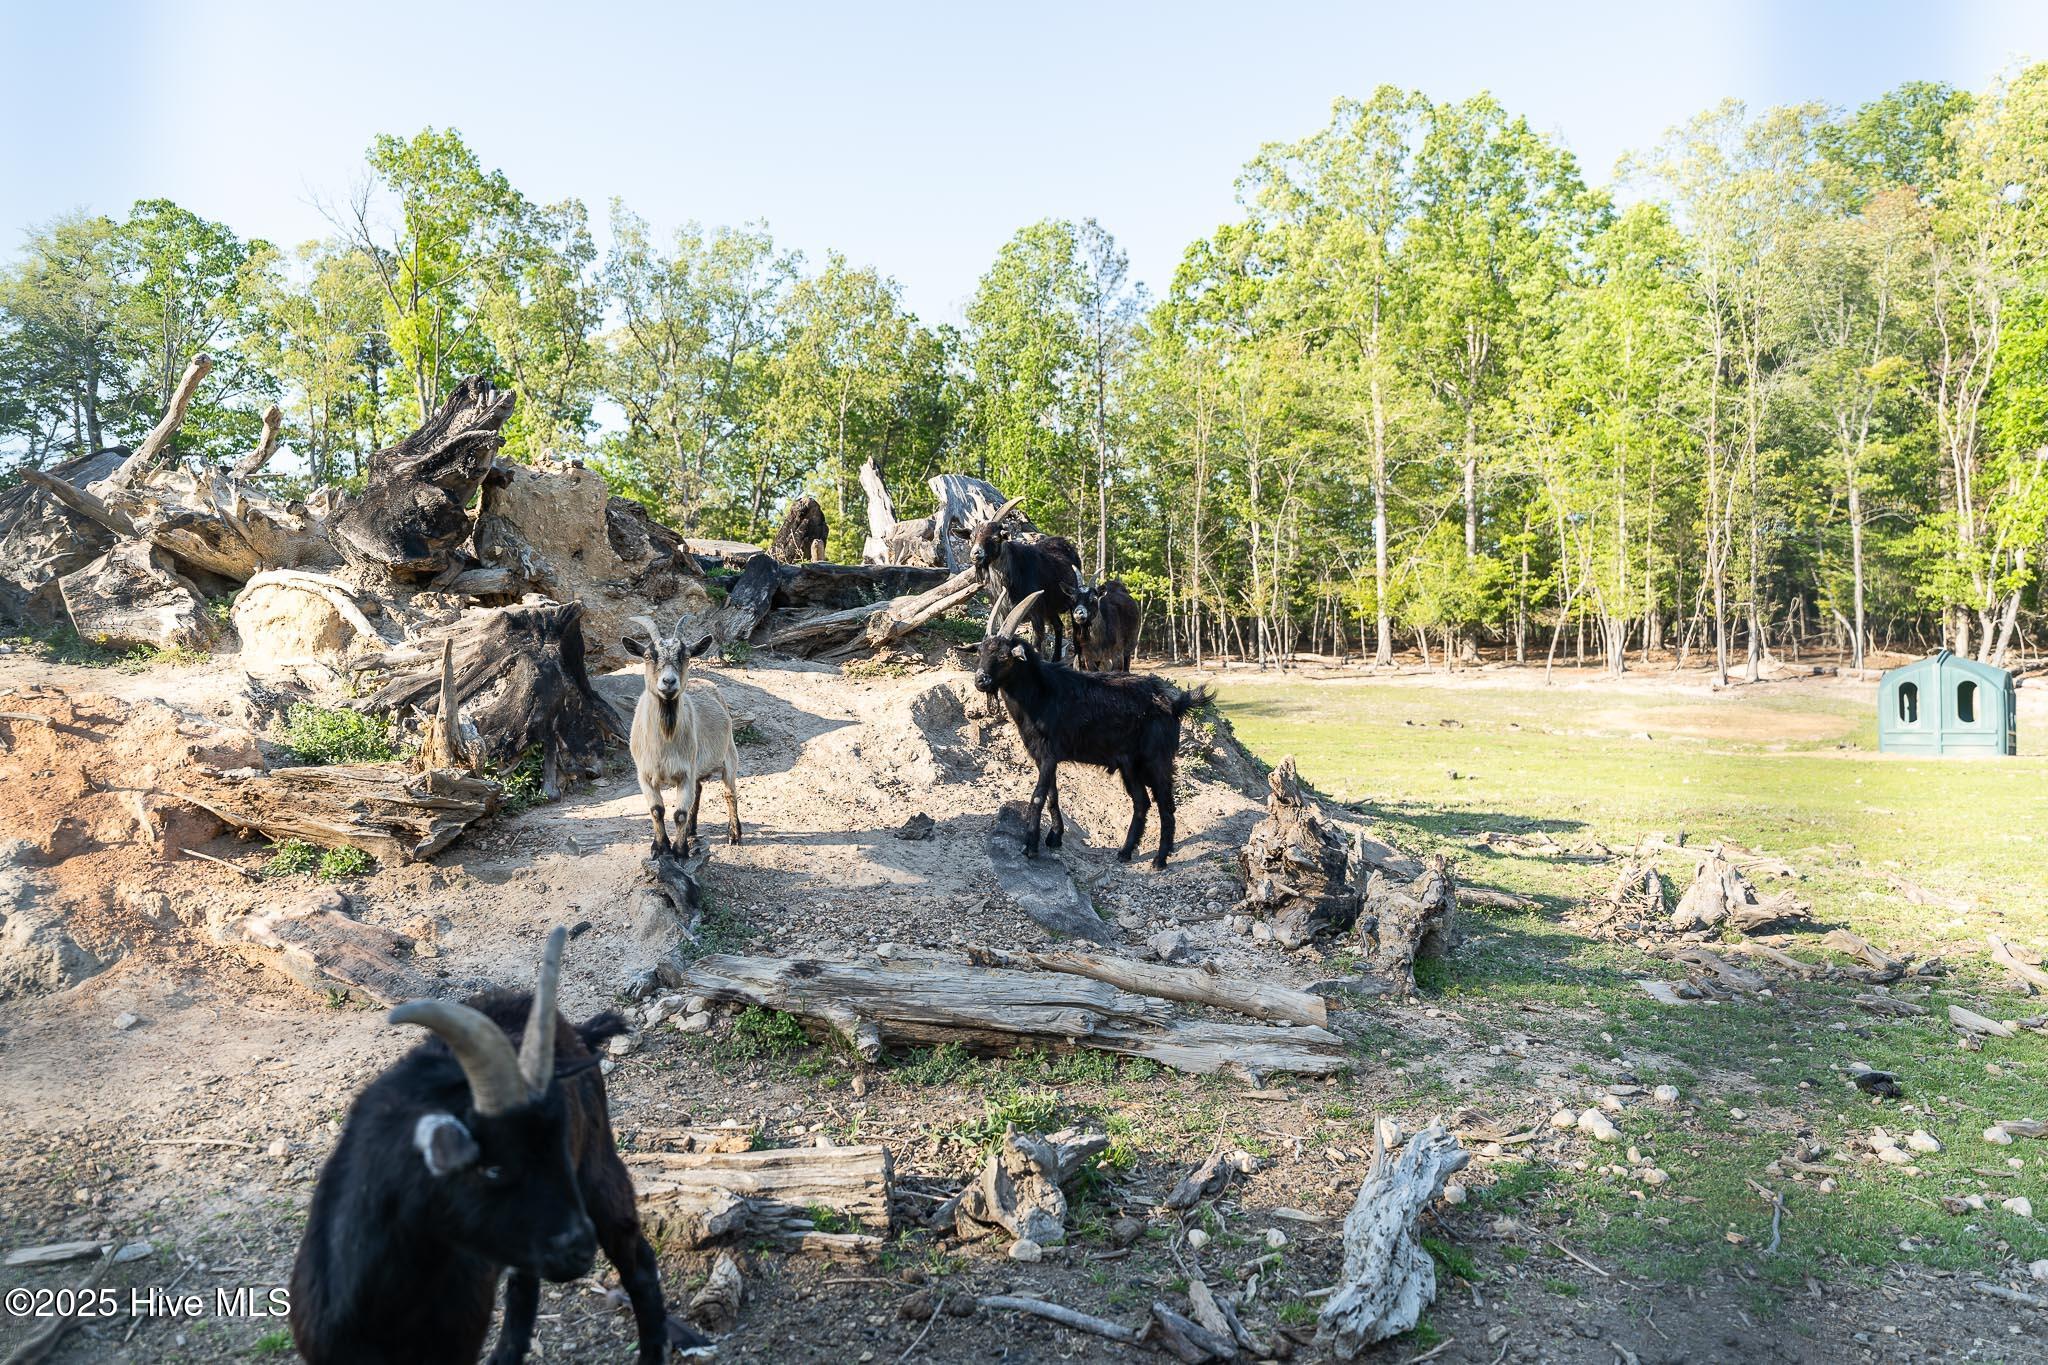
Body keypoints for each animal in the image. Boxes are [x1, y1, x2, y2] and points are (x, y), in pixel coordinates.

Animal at [624, 615, 741, 855]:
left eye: (685, 656)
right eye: (648, 656)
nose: (669, 682)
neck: (665, 740)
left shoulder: (686, 771)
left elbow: (679, 814)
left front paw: (679, 851)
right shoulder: (645, 774)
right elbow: (656, 810)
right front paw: (660, 847)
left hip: (729, 754)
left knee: (729, 792)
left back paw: (734, 835)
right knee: (699, 790)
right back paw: (692, 830)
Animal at [969, 498, 1081, 661]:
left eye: (995, 537)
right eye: (972, 537)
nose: (975, 553)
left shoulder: (1036, 611)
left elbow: (1037, 643)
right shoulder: (1003, 612)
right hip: (1050, 608)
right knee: (1058, 625)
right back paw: (1055, 658)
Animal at [973, 591, 1209, 869]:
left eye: (1004, 656)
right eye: (980, 652)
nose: (981, 680)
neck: (1041, 694)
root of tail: (1174, 703)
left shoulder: (1049, 753)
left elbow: (1038, 796)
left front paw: (1030, 845)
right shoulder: (1043, 757)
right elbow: (1052, 795)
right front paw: (1054, 837)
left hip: (1156, 759)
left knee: (1166, 805)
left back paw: (1159, 859)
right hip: (1130, 765)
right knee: (1142, 802)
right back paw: (1125, 852)